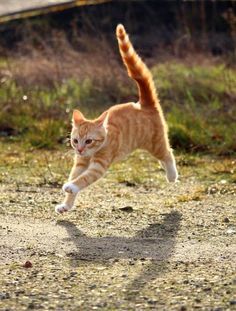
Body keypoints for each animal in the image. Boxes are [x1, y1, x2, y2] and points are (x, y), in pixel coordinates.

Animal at [55, 25, 177, 214]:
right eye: (75, 141)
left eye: (89, 141)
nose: (80, 149)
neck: (91, 152)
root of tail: (143, 103)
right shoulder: (80, 164)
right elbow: (75, 177)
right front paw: (66, 204)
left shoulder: (98, 166)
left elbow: (83, 179)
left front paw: (71, 187)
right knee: (164, 157)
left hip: (155, 143)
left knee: (168, 153)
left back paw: (172, 175)